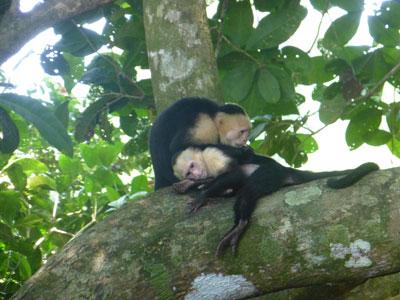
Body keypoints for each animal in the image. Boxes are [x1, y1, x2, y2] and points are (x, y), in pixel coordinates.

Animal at [171, 145, 378, 258]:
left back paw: (241, 224)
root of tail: (285, 169)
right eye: (188, 171)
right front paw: (190, 184)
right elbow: (228, 188)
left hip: (271, 174)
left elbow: (234, 172)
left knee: (248, 189)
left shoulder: (212, 154)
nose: (195, 174)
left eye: (192, 165)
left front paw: (202, 196)